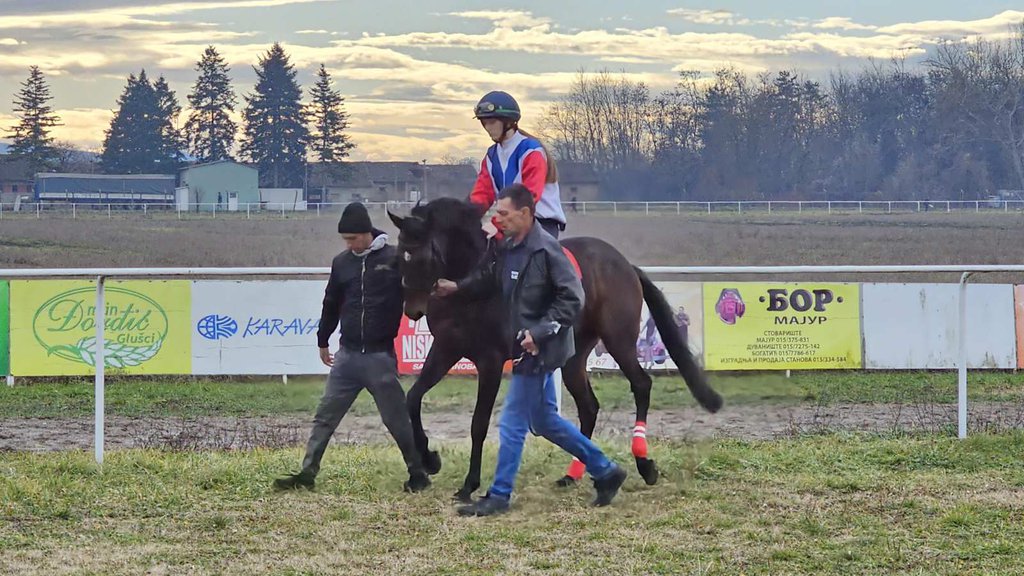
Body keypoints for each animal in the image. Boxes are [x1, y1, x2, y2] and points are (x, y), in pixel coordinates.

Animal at [387, 195, 724, 498]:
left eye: (421, 256)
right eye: (400, 254)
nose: (412, 311)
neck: (469, 289)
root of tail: (624, 263)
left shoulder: (490, 361)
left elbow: (478, 423)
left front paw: (469, 484)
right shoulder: (446, 349)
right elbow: (412, 399)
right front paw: (429, 460)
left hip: (619, 339)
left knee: (641, 385)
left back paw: (643, 463)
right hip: (574, 357)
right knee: (589, 406)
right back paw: (574, 474)